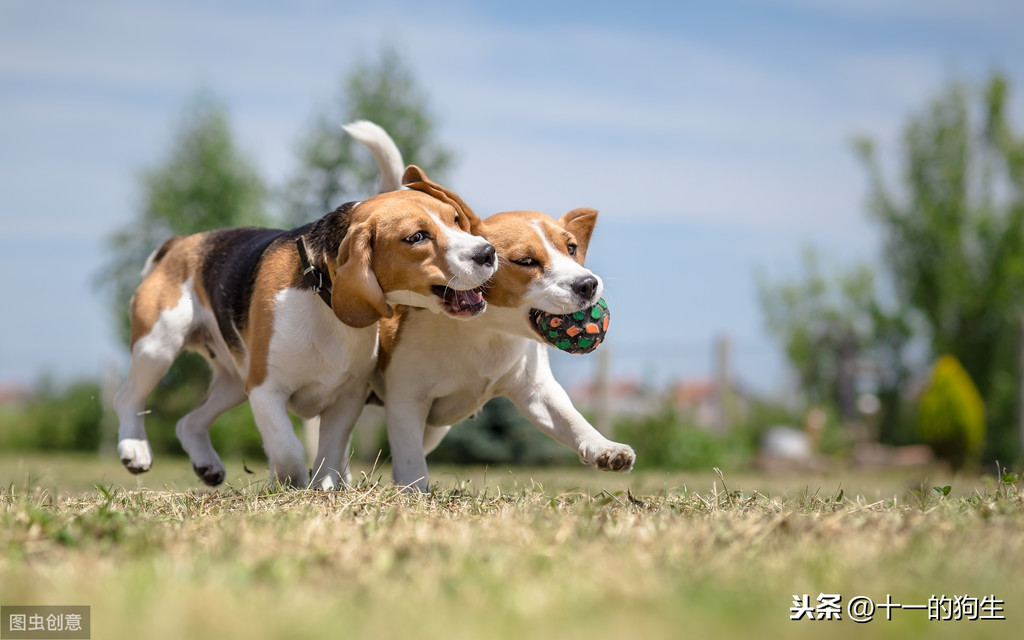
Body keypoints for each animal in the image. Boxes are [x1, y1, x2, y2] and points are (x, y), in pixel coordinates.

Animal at [114, 122, 497, 487]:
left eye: (455, 220)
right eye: (416, 237)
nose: (487, 252)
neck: (323, 302)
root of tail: (183, 243)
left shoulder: (347, 398)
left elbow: (330, 451)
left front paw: (324, 487)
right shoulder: (265, 390)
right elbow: (289, 449)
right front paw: (289, 483)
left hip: (233, 382)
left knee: (188, 422)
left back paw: (207, 464)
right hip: (159, 346)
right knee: (128, 398)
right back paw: (134, 450)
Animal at [344, 125, 634, 493]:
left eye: (571, 248)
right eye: (526, 261)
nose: (588, 284)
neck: (485, 331)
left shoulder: (536, 389)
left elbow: (569, 418)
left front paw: (603, 448)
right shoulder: (406, 401)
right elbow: (410, 458)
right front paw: (416, 490)